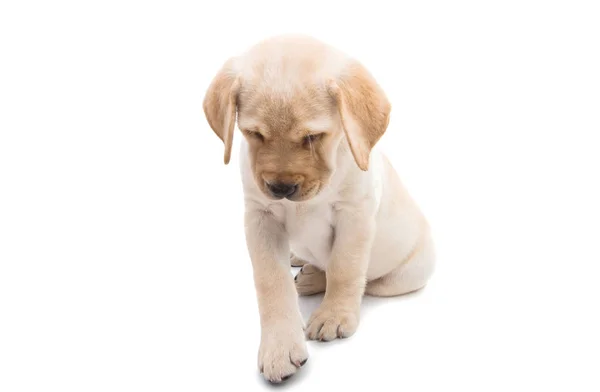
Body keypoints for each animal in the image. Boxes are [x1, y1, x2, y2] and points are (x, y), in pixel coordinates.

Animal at [204, 34, 434, 382]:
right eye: (254, 133)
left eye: (313, 137)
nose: (281, 189)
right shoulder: (260, 218)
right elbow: (271, 281)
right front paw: (279, 346)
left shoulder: (354, 216)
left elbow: (344, 269)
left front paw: (334, 315)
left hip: (402, 277)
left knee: (367, 282)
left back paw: (314, 279)